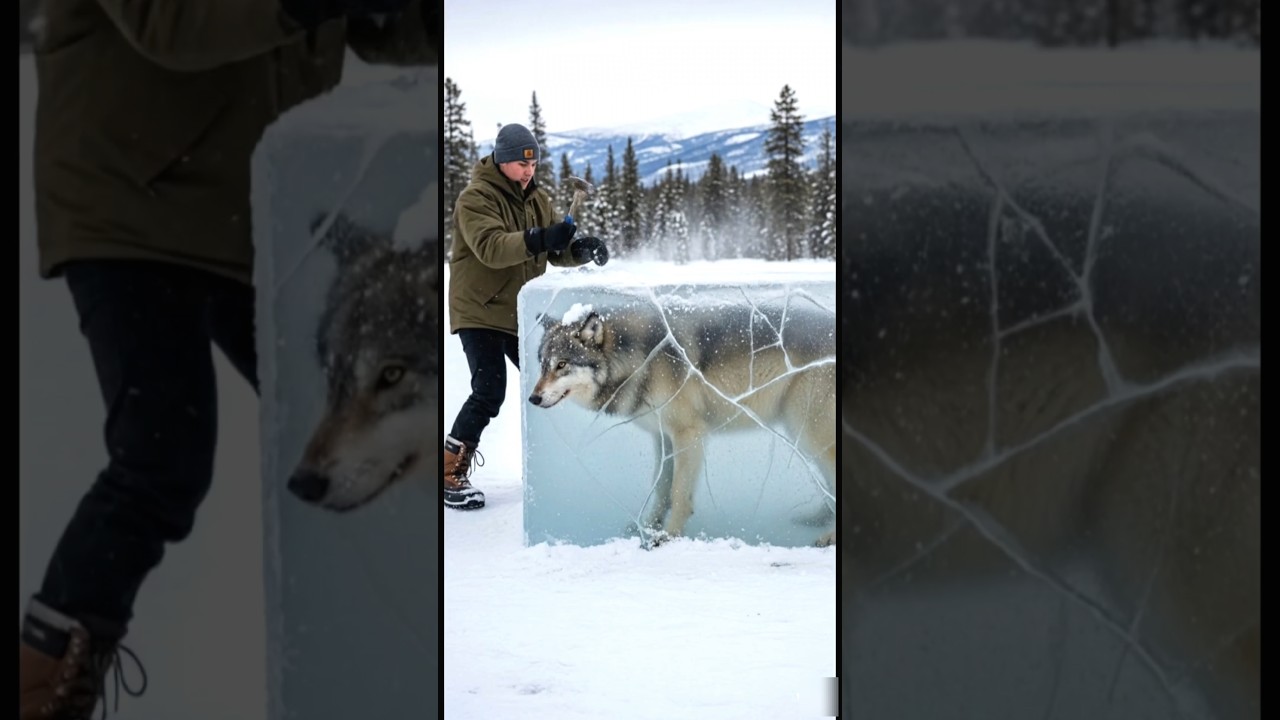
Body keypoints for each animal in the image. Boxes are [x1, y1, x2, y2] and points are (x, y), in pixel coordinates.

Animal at [529, 296, 837, 546]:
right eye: (543, 364)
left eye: (562, 364)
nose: (532, 398)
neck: (640, 358)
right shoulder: (663, 438)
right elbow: (661, 489)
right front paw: (648, 528)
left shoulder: (688, 434)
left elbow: (678, 494)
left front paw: (667, 537)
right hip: (804, 435)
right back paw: (819, 519)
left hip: (808, 432)